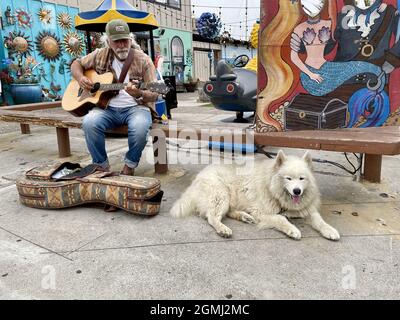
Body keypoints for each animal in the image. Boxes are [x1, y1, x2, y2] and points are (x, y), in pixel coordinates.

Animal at [170, 149, 340, 240]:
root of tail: (198, 177)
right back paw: (223, 229)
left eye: (302, 178)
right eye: (288, 178)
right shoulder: (262, 212)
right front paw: (292, 229)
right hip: (222, 195)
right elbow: (281, 218)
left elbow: (319, 219)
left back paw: (245, 217)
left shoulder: (306, 210)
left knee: (229, 212)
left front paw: (330, 230)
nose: (297, 191)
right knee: (212, 217)